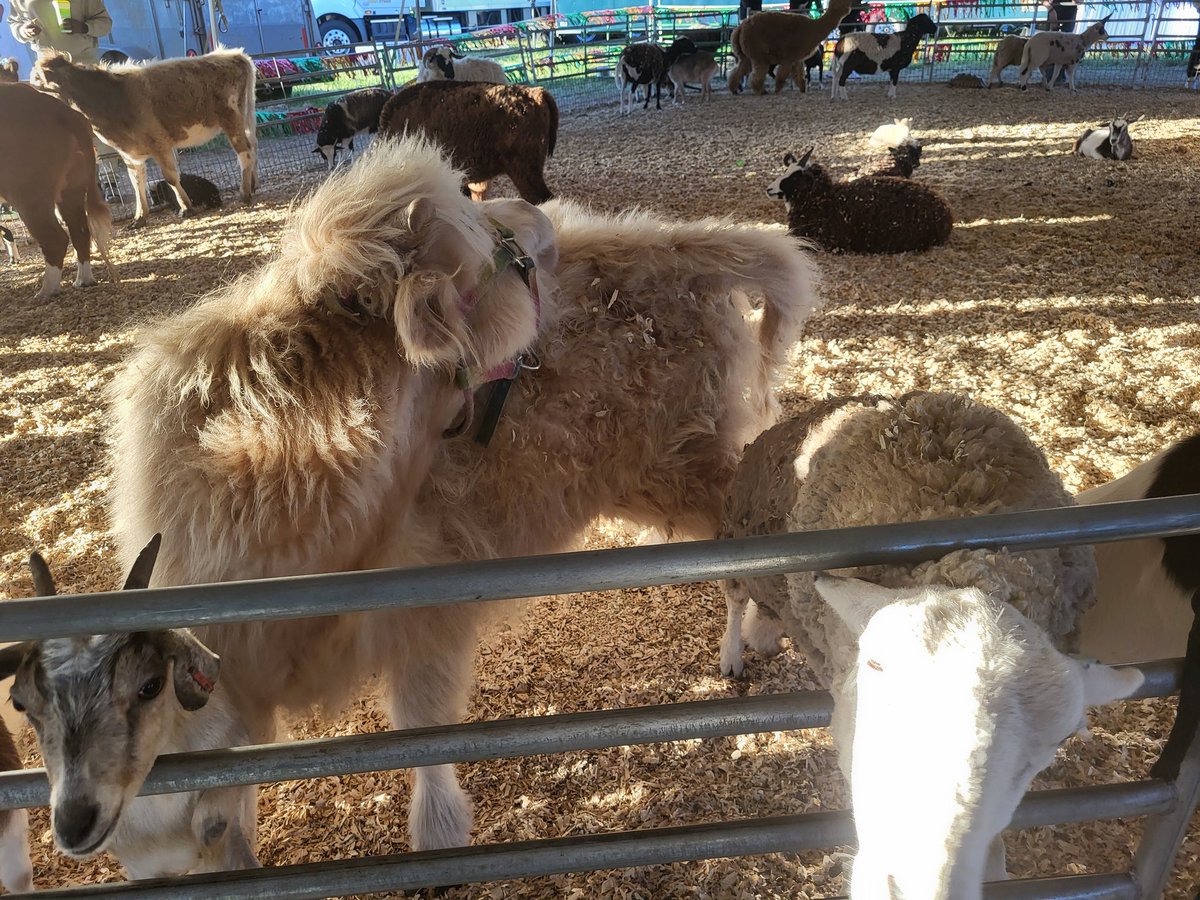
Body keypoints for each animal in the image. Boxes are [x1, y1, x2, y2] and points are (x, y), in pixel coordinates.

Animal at [0, 82, 117, 299]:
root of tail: (61, 110)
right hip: (71, 190)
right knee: (80, 231)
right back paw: (83, 280)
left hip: (29, 193)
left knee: (55, 238)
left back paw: (46, 291)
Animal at [0, 534, 258, 879]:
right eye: (20, 702)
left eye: (151, 685)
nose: (74, 825)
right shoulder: (140, 869)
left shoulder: (239, 743)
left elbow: (211, 824)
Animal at [31, 48, 258, 226]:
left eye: (39, 80)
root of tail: (233, 55)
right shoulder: (130, 154)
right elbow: (136, 182)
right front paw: (140, 217)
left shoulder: (159, 143)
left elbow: (171, 177)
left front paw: (186, 207)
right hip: (246, 115)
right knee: (253, 146)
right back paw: (253, 185)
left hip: (231, 118)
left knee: (244, 151)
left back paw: (244, 193)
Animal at [105, 133, 820, 859]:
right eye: (487, 252)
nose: (540, 221)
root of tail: (679, 242)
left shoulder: (428, 603)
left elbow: (425, 733)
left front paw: (439, 832)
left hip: (685, 460)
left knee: (746, 539)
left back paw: (751, 639)